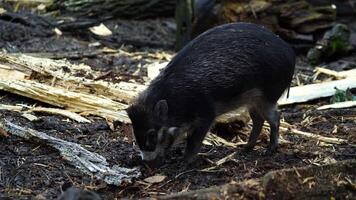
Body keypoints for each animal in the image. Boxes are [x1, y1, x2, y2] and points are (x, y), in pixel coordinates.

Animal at [127, 21, 294, 166]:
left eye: (152, 134)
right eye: (135, 132)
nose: (147, 163)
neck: (176, 101)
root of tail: (289, 51)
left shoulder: (206, 114)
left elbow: (194, 141)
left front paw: (183, 163)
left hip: (268, 95)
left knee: (275, 117)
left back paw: (268, 151)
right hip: (253, 100)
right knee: (258, 119)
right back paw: (244, 149)